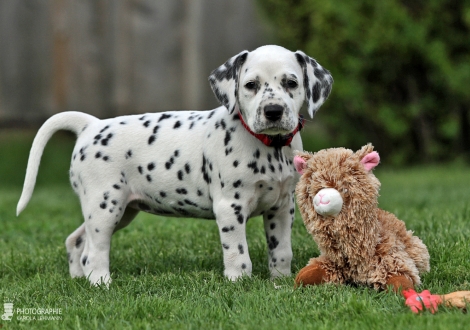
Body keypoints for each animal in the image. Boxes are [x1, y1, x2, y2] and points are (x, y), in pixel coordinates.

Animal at [17, 44, 334, 286]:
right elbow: (238, 253)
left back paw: (77, 279)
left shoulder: (281, 207)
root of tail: (90, 125)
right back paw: (101, 284)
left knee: (76, 241)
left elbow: (281, 250)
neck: (269, 146)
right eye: (251, 85)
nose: (273, 111)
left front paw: (280, 281)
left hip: (119, 211)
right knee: (93, 253)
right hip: (105, 206)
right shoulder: (229, 207)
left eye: (291, 83)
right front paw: (239, 283)